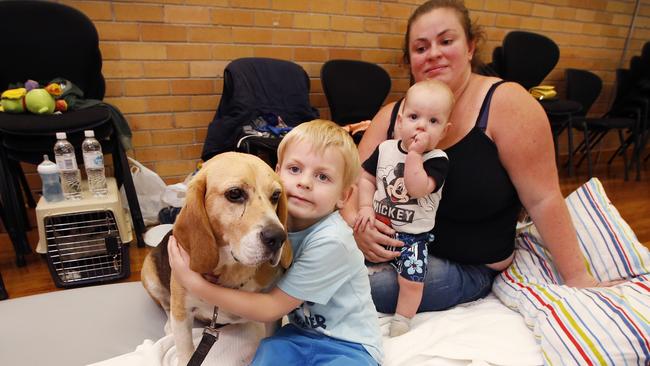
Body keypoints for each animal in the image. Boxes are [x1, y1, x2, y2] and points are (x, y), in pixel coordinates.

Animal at [144, 152, 294, 366]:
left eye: (276, 196)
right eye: (235, 193)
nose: (278, 238)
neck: (231, 269)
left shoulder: (271, 317)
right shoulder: (182, 313)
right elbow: (185, 351)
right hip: (148, 275)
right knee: (165, 304)